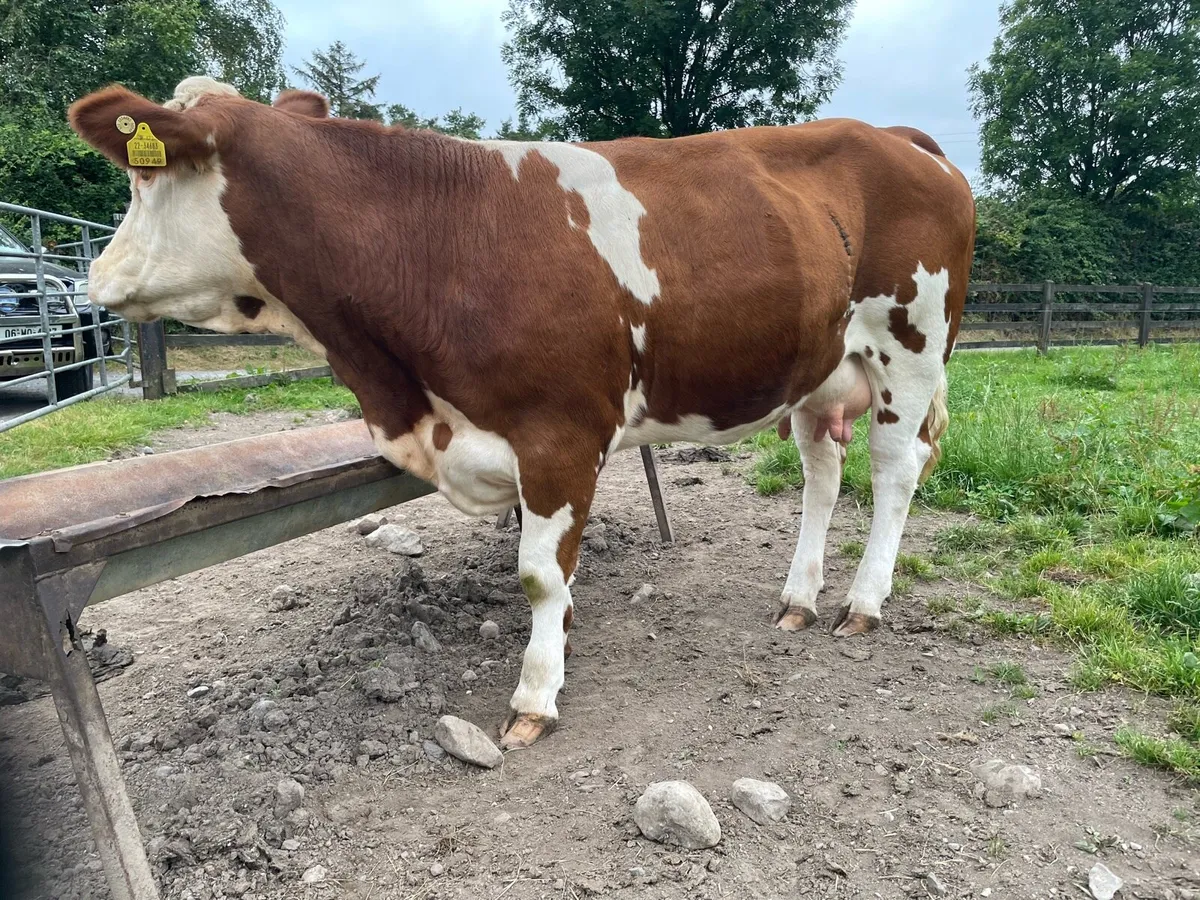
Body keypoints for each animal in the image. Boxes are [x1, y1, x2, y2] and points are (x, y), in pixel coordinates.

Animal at [68, 77, 975, 750]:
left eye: (143, 175)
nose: (94, 278)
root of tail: (896, 135)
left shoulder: (561, 434)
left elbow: (539, 574)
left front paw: (536, 696)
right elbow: (553, 577)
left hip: (910, 351)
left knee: (894, 473)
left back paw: (863, 604)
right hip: (819, 368)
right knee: (823, 472)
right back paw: (798, 598)